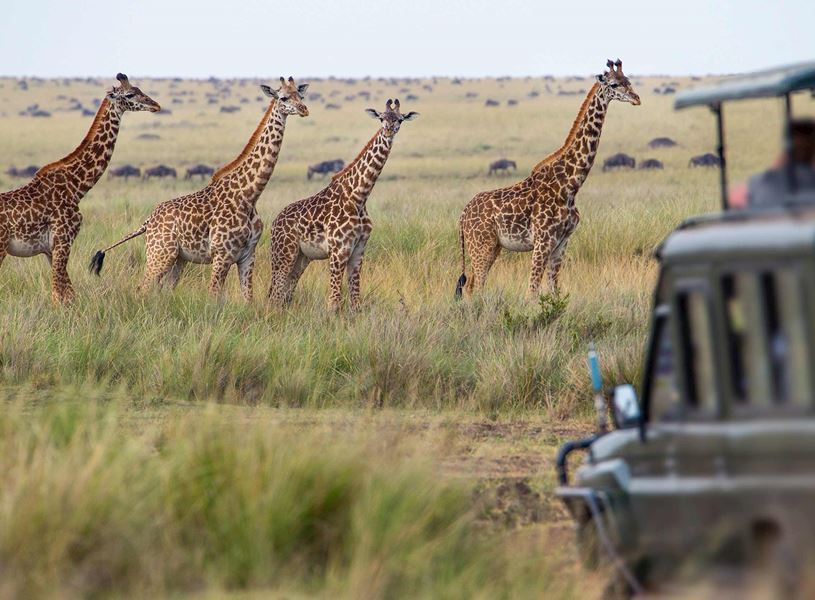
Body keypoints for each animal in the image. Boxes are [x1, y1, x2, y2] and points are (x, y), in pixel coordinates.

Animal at [0, 74, 160, 304]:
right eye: (130, 94)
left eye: (140, 89)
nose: (156, 105)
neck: (76, 187)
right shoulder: (63, 240)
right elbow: (59, 295)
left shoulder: (52, 248)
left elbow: (66, 293)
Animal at [90, 77, 309, 301]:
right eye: (283, 97)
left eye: (301, 95)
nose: (304, 109)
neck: (249, 194)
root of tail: (148, 221)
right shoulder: (222, 255)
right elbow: (214, 295)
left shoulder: (248, 255)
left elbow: (248, 298)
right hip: (159, 253)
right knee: (142, 287)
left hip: (178, 258)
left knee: (163, 289)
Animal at [267, 99, 418, 312]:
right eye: (381, 118)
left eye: (400, 119)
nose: (389, 130)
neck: (359, 196)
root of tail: (274, 223)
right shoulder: (338, 250)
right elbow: (334, 303)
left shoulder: (358, 250)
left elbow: (355, 302)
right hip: (284, 253)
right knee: (275, 295)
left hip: (301, 257)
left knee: (285, 294)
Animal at [455, 60, 640, 299]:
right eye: (615, 84)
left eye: (629, 80)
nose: (637, 98)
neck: (570, 185)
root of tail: (462, 216)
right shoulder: (543, 241)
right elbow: (532, 290)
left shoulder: (562, 242)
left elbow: (554, 289)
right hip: (481, 244)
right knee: (475, 286)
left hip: (492, 246)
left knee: (471, 286)